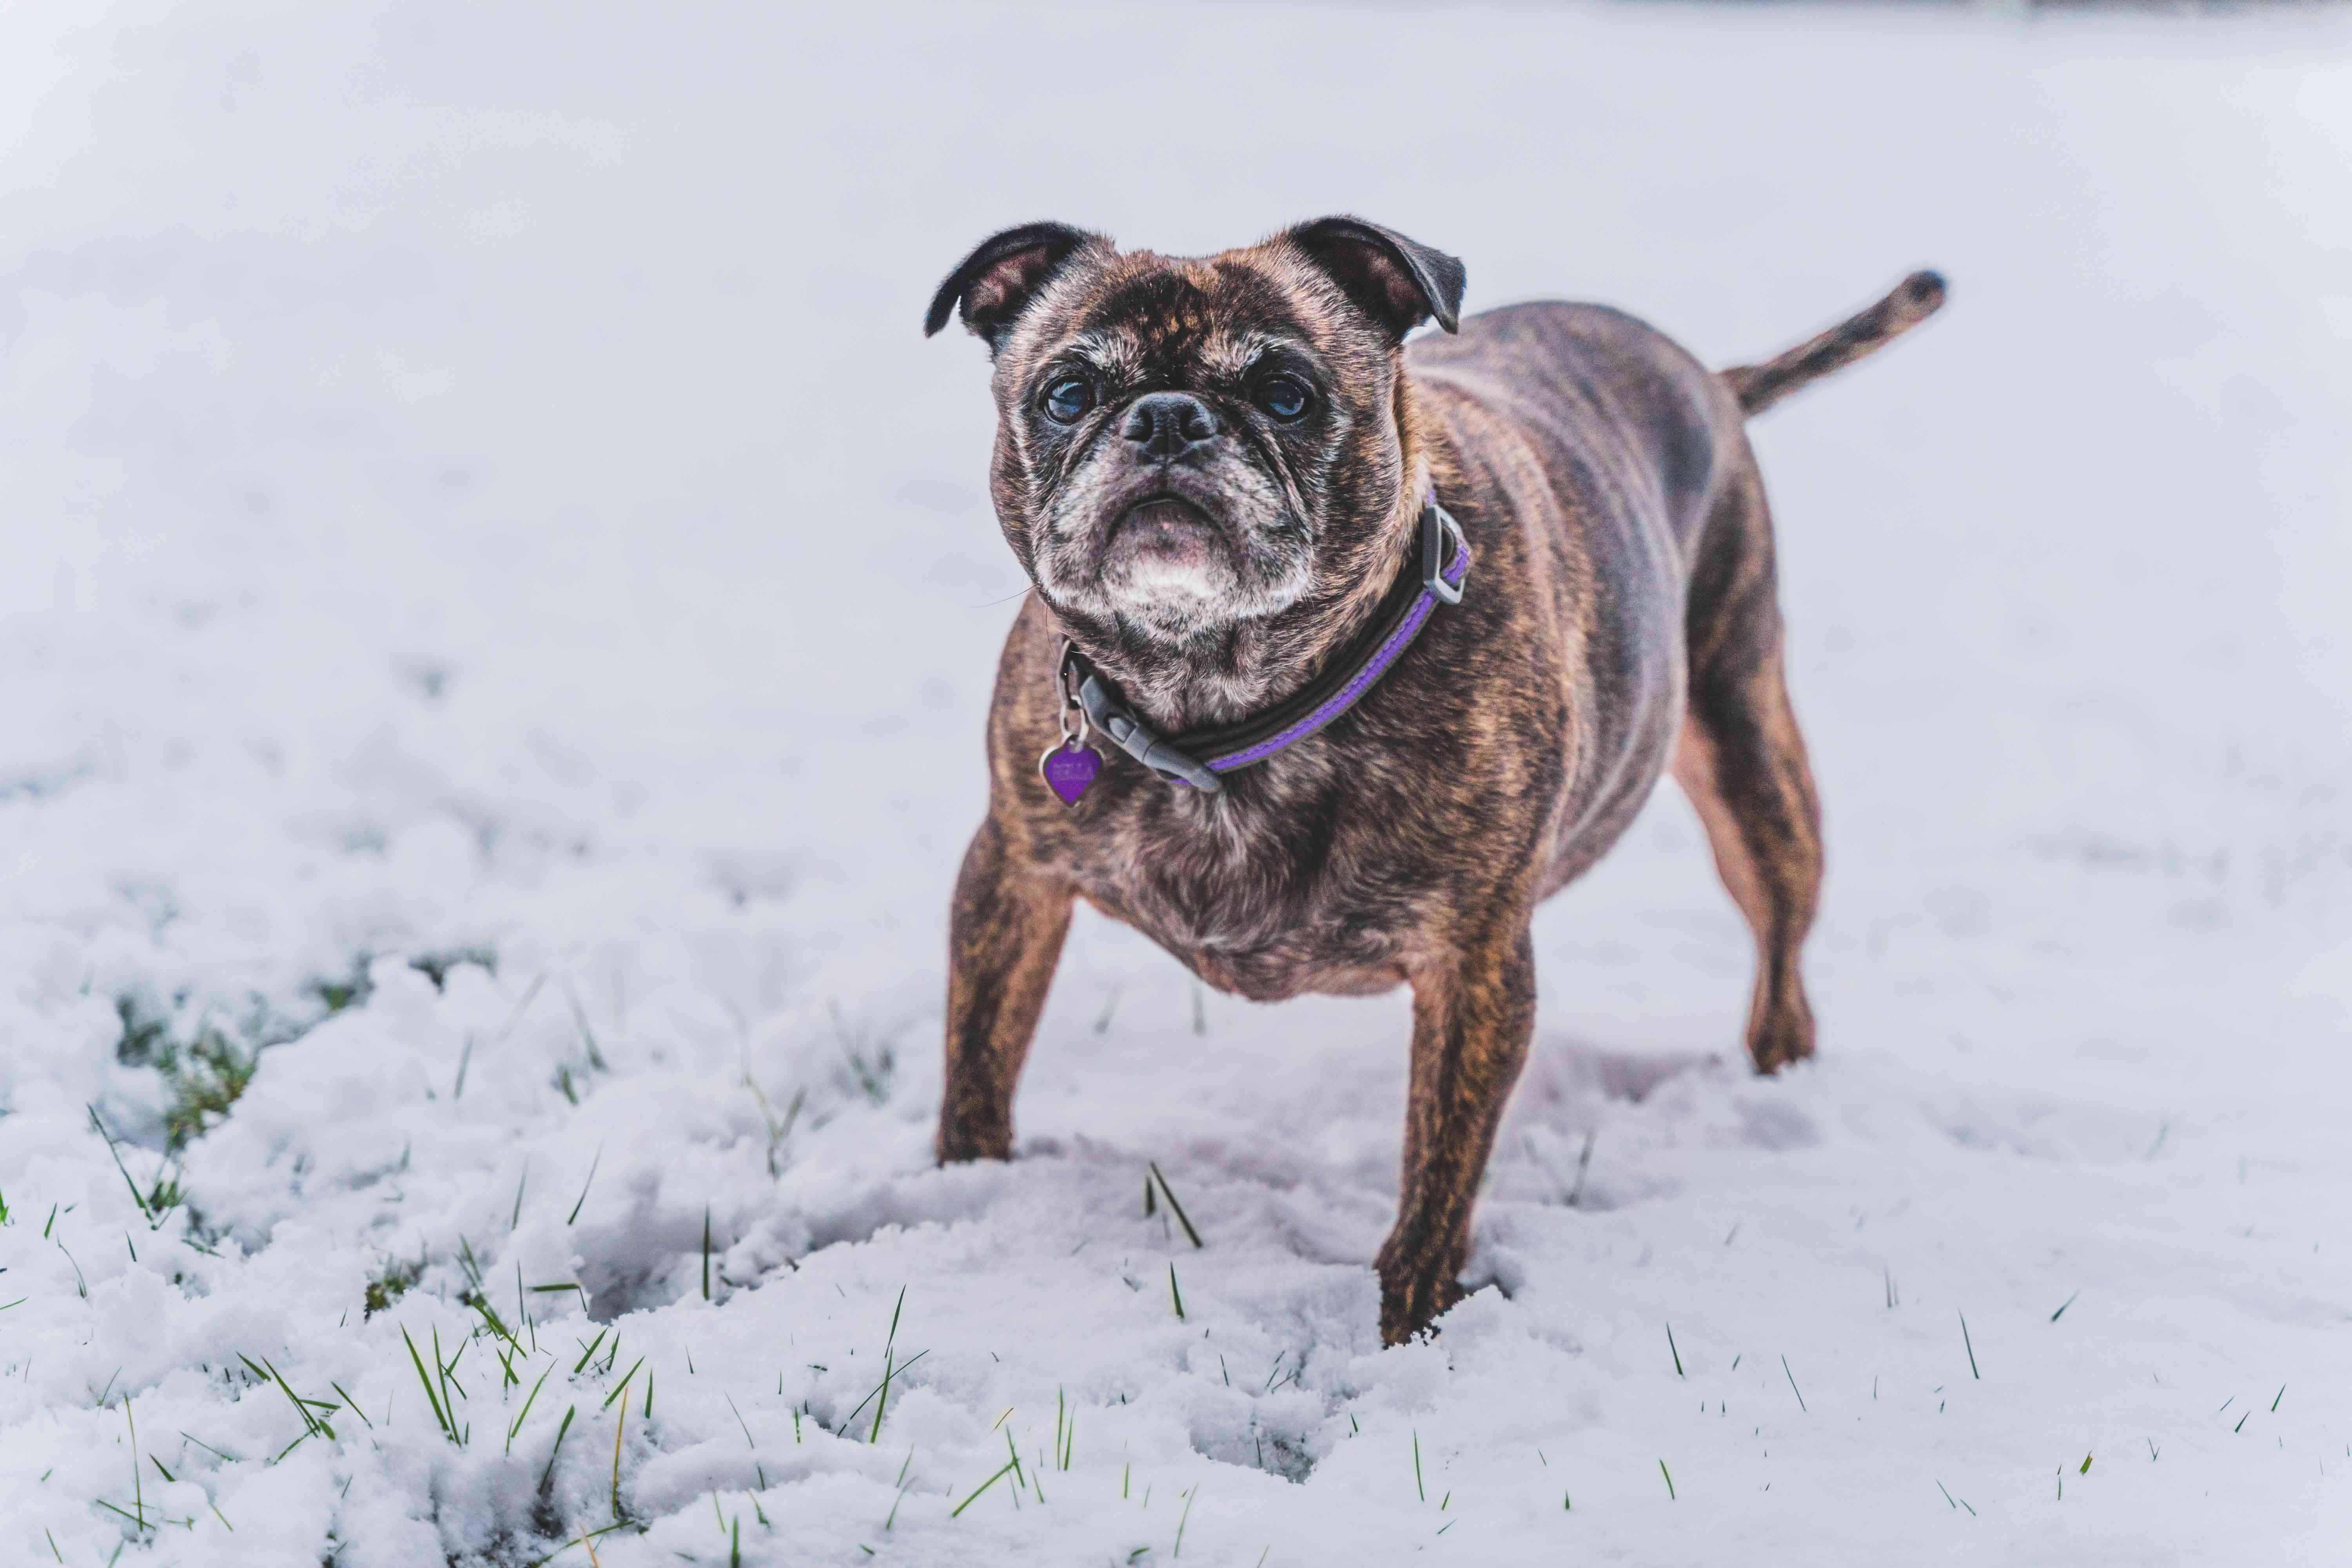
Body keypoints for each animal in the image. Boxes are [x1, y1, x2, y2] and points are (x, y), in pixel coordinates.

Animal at [927, 217, 1938, 1354]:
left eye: (1287, 393)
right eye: (1067, 393)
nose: (1168, 419)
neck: (1220, 704)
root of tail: (1710, 380)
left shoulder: (1477, 963)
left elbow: (1438, 1175)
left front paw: (1413, 1321)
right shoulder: (1012, 874)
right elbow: (978, 1059)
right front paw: (964, 1192)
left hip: (1750, 762)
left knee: (1781, 953)